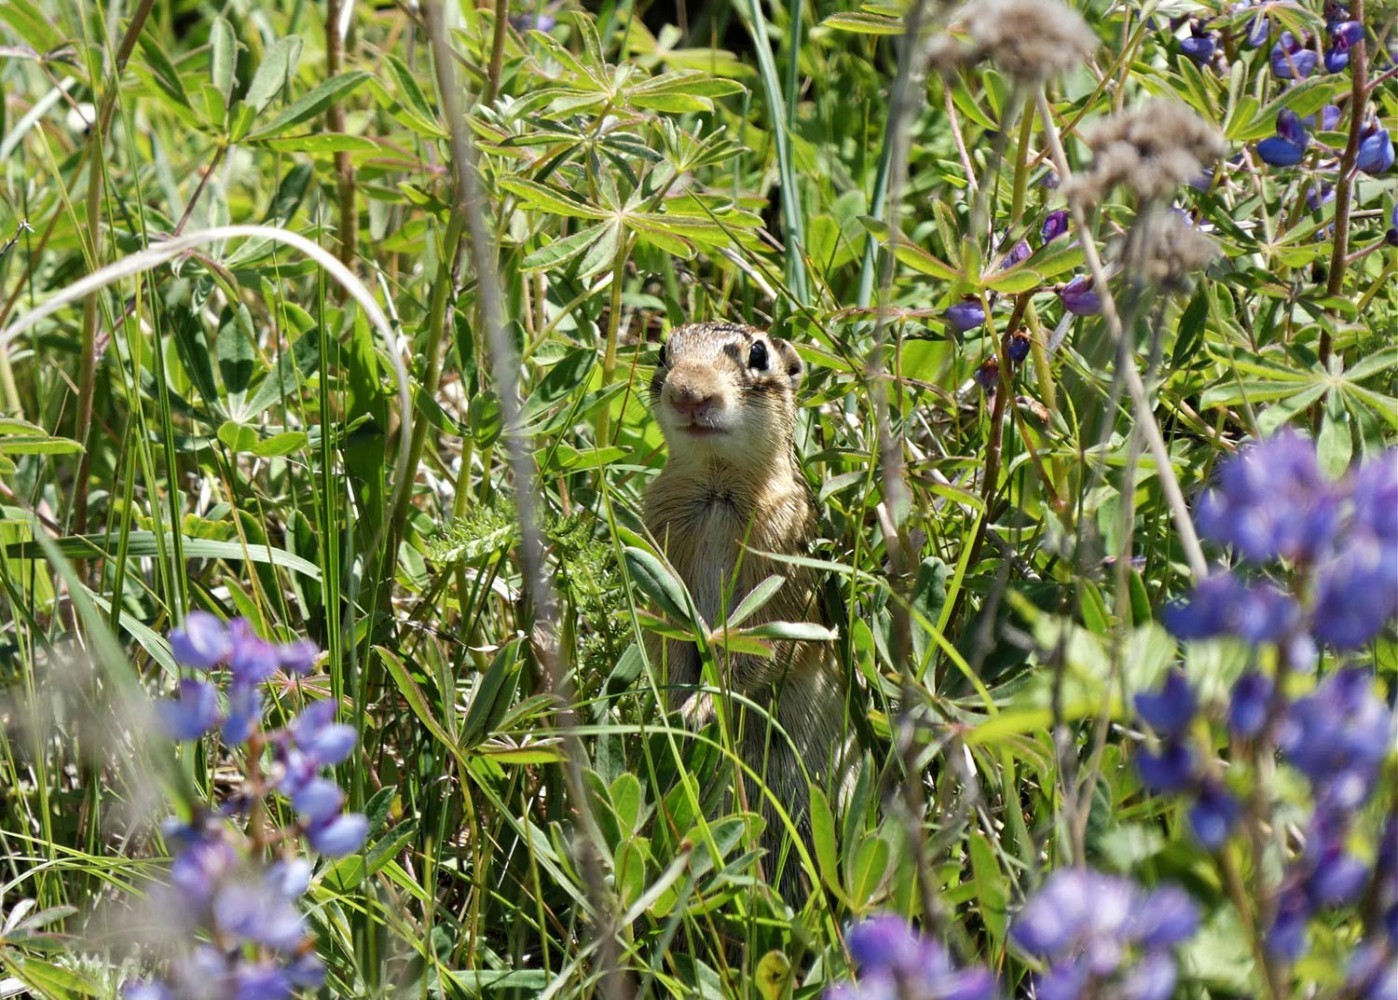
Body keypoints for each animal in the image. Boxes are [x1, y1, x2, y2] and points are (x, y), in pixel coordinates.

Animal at [643, 320, 856, 896]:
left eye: (758, 354)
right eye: (662, 354)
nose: (688, 394)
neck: (718, 482)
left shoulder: (779, 579)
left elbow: (751, 653)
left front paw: (696, 711)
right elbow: (667, 641)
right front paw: (673, 711)